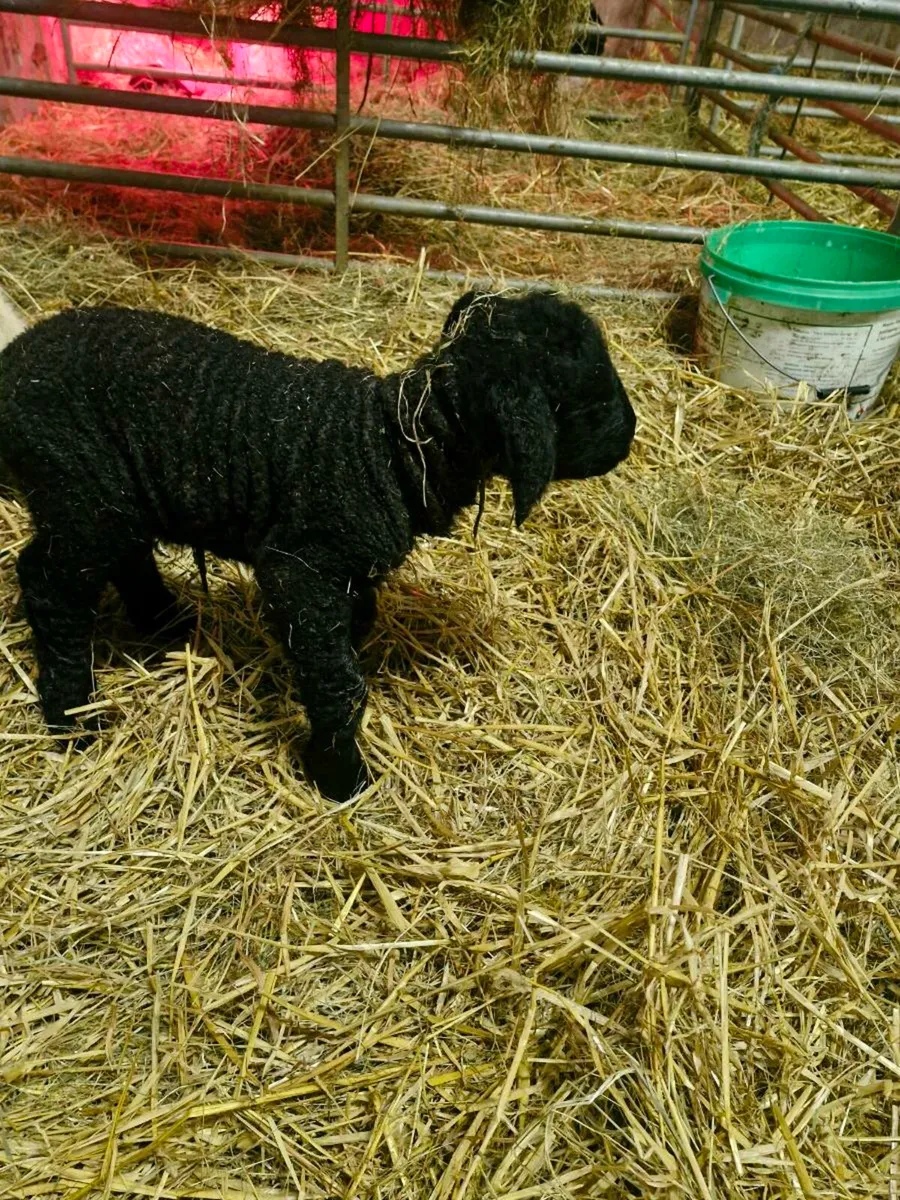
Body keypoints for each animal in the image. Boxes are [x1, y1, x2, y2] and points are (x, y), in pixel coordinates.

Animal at [0, 289, 636, 802]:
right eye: (590, 394)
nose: (630, 434)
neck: (392, 446)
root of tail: (15, 362)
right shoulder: (300, 568)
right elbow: (338, 681)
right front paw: (341, 777)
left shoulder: (345, 574)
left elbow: (351, 631)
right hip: (77, 487)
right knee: (47, 583)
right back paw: (72, 714)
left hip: (110, 495)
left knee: (123, 556)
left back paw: (165, 624)